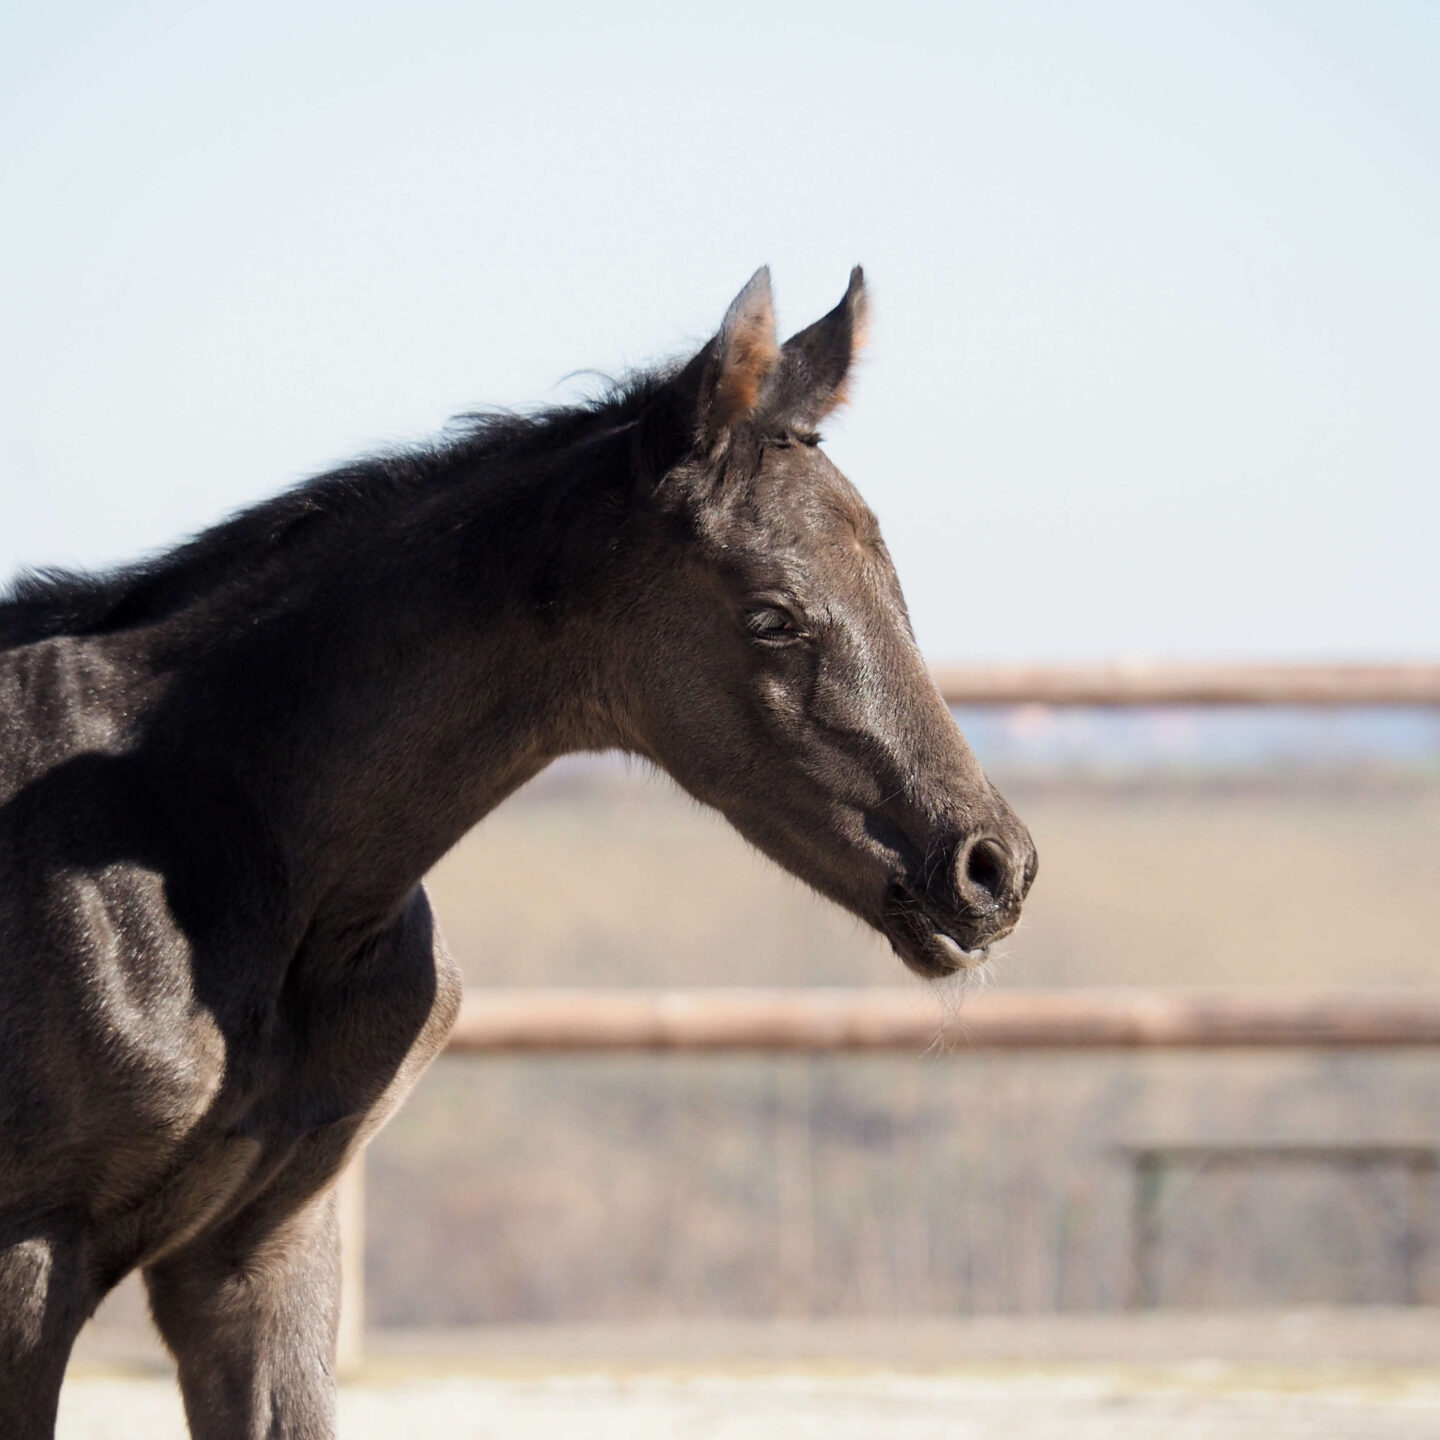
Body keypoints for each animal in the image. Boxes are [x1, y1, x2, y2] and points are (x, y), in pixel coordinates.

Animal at [0, 272, 1036, 1440]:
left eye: (893, 585)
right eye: (771, 614)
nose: (990, 869)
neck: (206, 828)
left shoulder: (260, 1251)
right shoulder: (28, 1256)